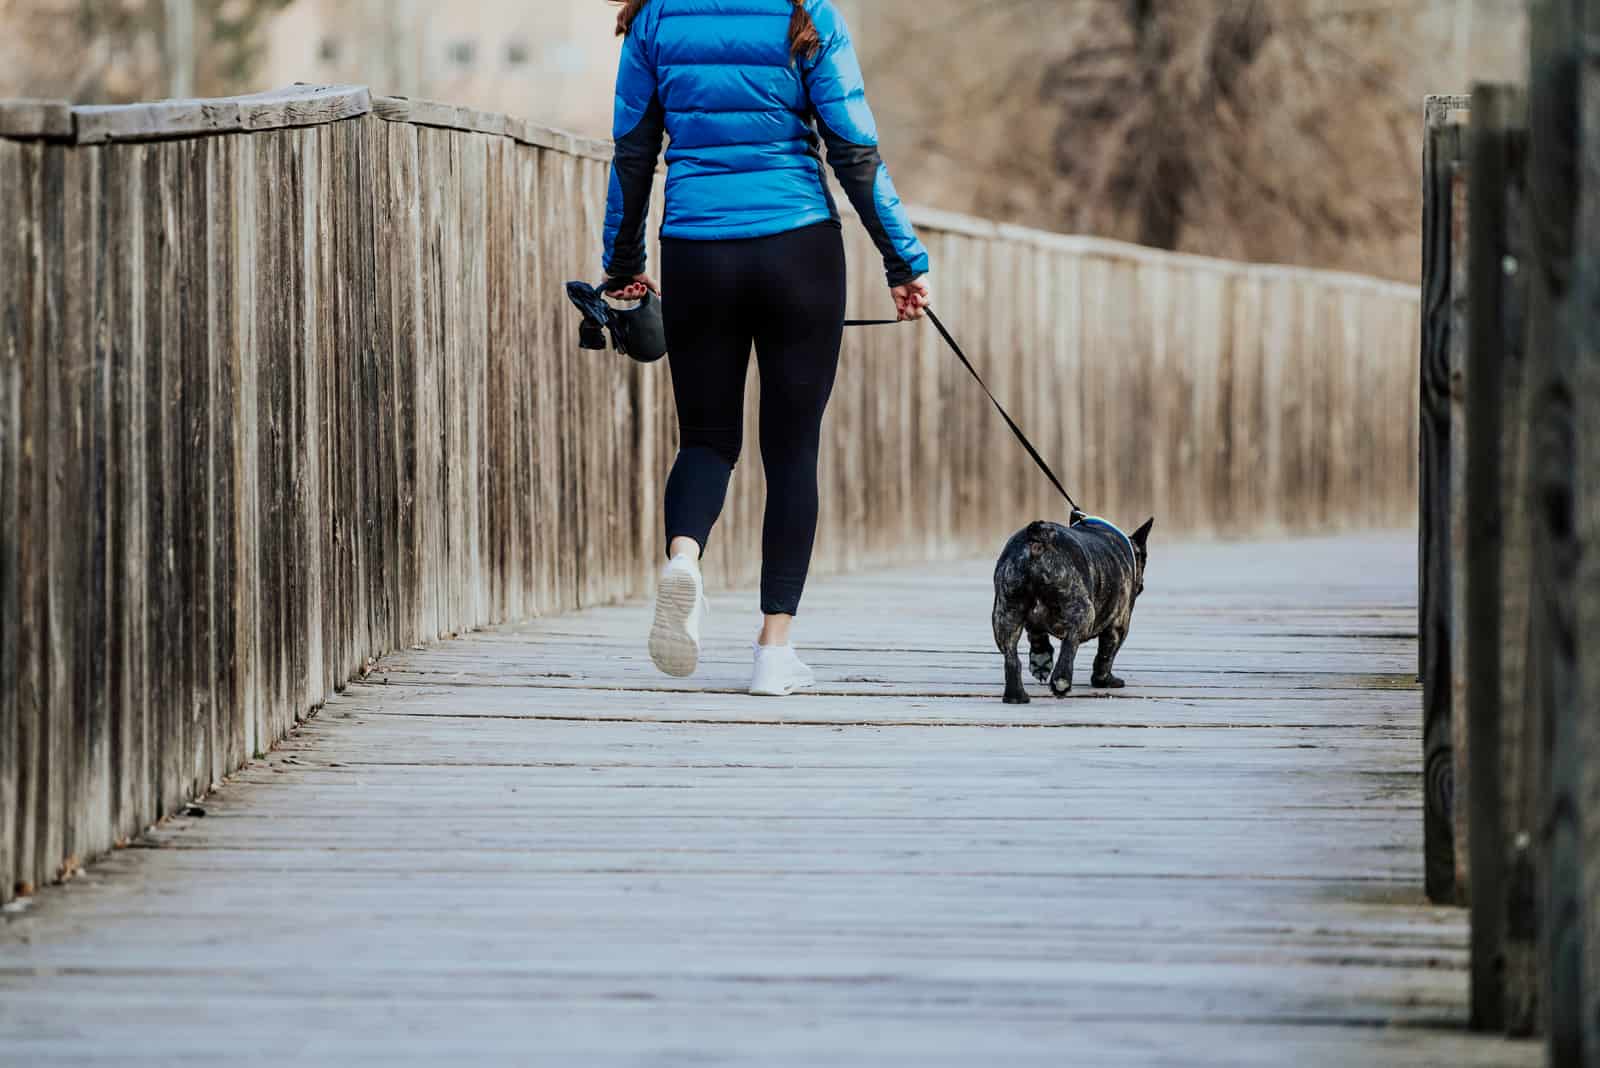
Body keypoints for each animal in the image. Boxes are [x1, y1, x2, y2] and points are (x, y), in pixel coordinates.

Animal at [985, 514, 1152, 703]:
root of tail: (1038, 535)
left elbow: (1037, 636)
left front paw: (1040, 661)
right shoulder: (1118, 624)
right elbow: (1106, 654)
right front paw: (1104, 680)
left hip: (1006, 612)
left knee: (1011, 656)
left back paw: (1016, 695)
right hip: (1084, 611)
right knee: (1070, 643)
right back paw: (1061, 681)